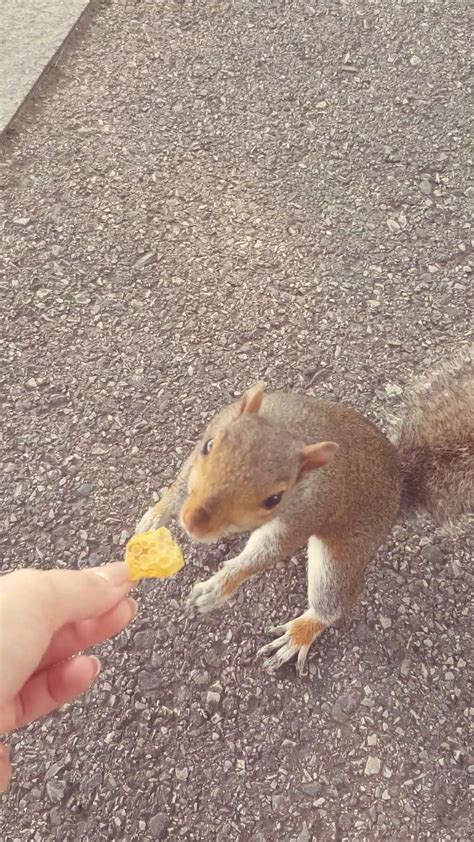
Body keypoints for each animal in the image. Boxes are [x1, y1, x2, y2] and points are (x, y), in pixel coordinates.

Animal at [134, 344, 474, 672]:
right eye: (210, 446)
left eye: (274, 499)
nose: (194, 523)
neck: (293, 430)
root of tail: (401, 486)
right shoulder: (208, 439)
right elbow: (180, 486)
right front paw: (153, 519)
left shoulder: (306, 511)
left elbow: (267, 551)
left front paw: (216, 589)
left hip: (345, 550)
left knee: (332, 602)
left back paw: (299, 634)